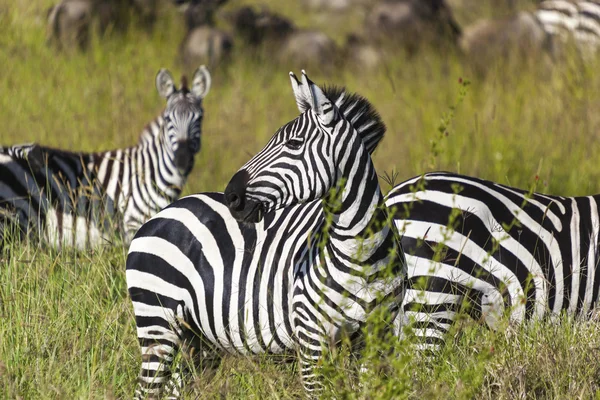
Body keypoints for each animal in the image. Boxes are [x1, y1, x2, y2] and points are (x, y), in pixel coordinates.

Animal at [126, 70, 408, 398]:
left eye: (295, 143)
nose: (231, 195)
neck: (361, 252)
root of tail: (157, 217)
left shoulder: (375, 338)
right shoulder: (311, 339)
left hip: (198, 340)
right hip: (157, 324)